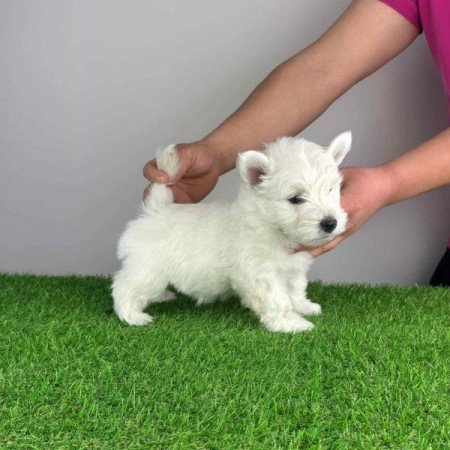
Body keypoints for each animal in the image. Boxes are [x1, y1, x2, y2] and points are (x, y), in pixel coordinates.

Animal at [112, 132, 352, 332]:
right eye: (295, 199)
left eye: (332, 189)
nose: (330, 223)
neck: (269, 224)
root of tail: (154, 209)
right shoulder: (258, 273)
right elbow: (276, 298)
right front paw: (290, 323)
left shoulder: (294, 267)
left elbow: (295, 288)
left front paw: (303, 306)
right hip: (148, 269)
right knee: (124, 286)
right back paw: (132, 316)